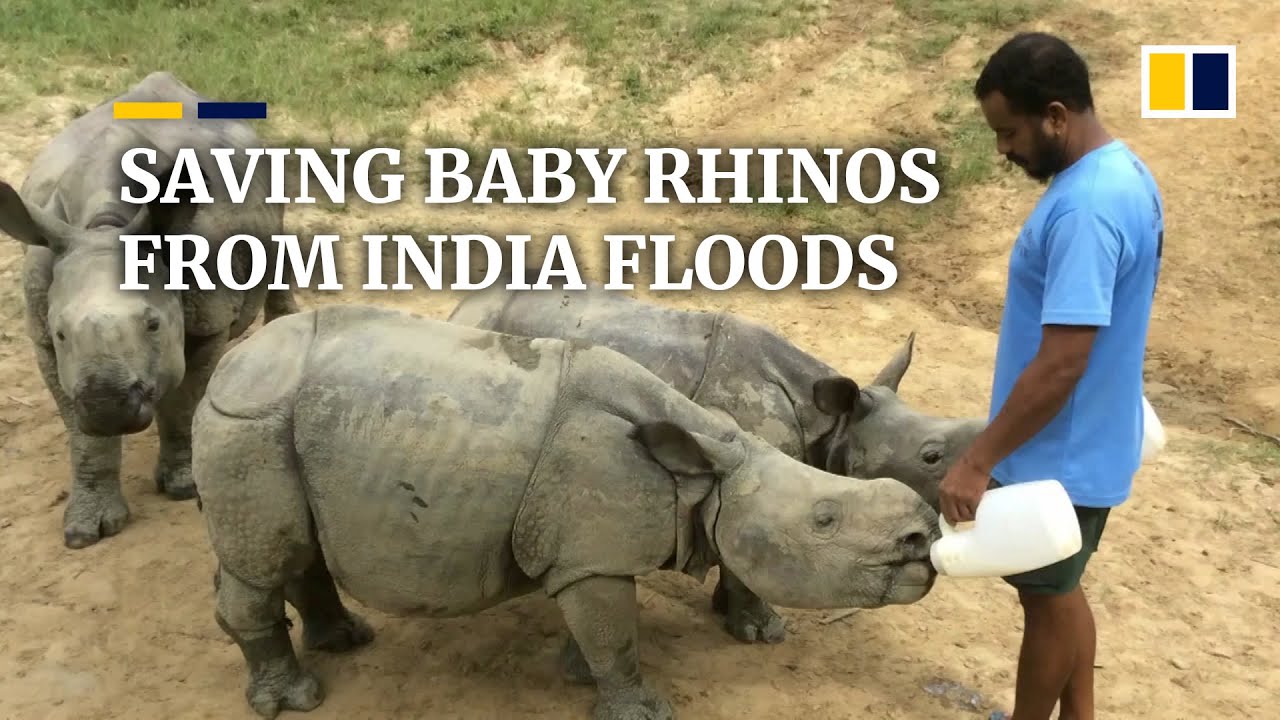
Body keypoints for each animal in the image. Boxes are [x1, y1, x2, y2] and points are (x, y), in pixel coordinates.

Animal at [0, 71, 299, 549]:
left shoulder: (206, 319)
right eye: (62, 333)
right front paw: (86, 530)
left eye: (154, 324)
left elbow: (184, 400)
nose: (107, 407)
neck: (105, 223)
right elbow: (82, 435)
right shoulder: (43, 333)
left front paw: (182, 486)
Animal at [191, 303, 940, 720]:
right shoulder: (594, 556)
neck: (706, 470)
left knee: (292, 548)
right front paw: (643, 713)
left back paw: (345, 641)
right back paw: (296, 700)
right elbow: (616, 635)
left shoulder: (589, 554)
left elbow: (600, 627)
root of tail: (230, 367)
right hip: (247, 423)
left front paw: (574, 673)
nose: (922, 536)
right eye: (824, 520)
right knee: (258, 564)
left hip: (279, 425)